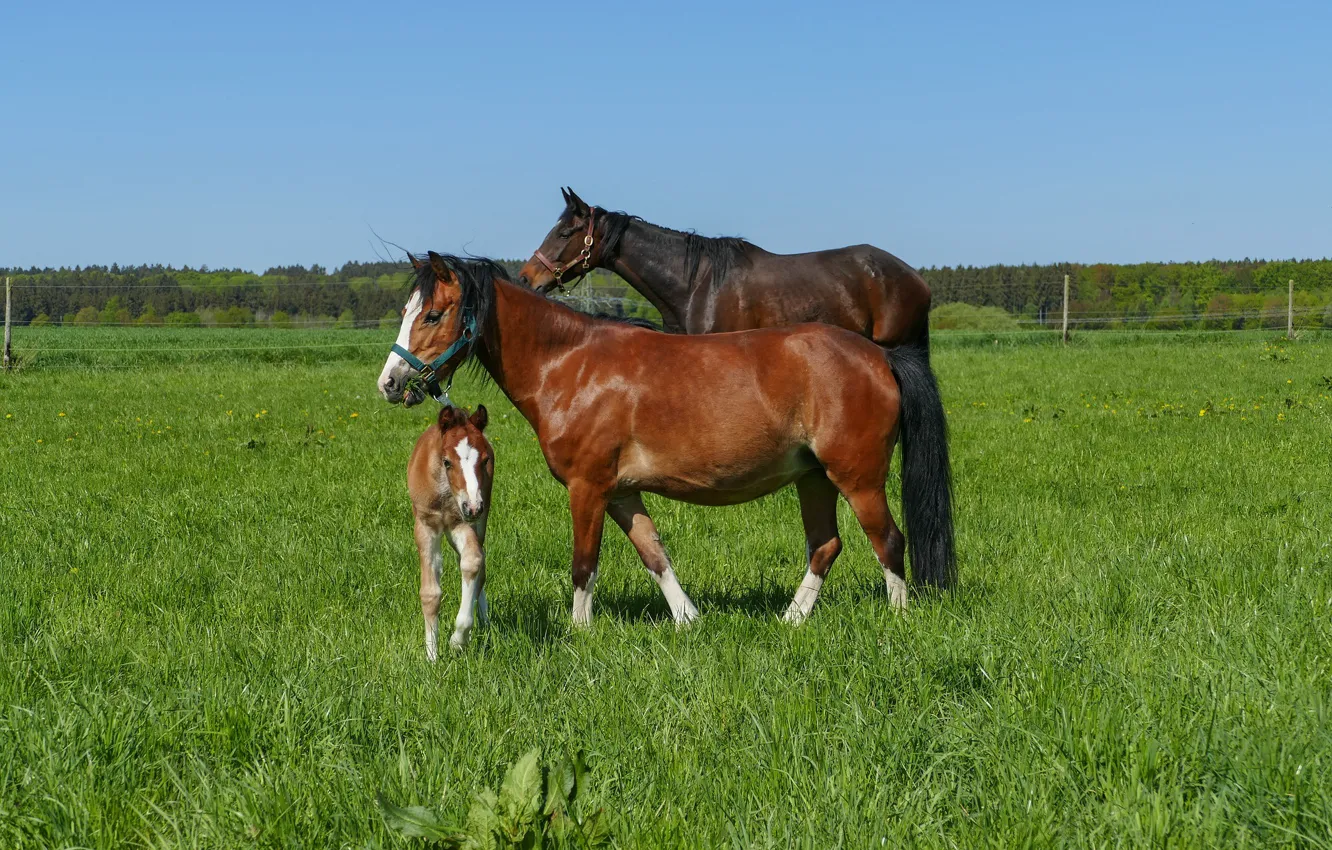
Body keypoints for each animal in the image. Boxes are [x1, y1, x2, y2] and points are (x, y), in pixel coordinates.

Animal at [378, 252, 954, 627]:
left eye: (432, 314)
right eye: (405, 311)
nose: (390, 381)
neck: (570, 364)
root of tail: (880, 356)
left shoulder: (587, 488)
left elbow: (584, 564)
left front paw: (578, 632)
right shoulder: (621, 492)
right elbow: (654, 553)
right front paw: (688, 619)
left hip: (857, 478)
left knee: (889, 542)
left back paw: (898, 621)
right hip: (813, 477)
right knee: (825, 545)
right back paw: (790, 620)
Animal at [406, 403, 494, 658]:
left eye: (485, 460)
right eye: (447, 462)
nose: (473, 507)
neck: (445, 493)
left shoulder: (461, 523)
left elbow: (473, 562)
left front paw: (458, 639)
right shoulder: (426, 526)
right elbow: (430, 593)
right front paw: (431, 656)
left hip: (478, 521)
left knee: (478, 564)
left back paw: (482, 621)